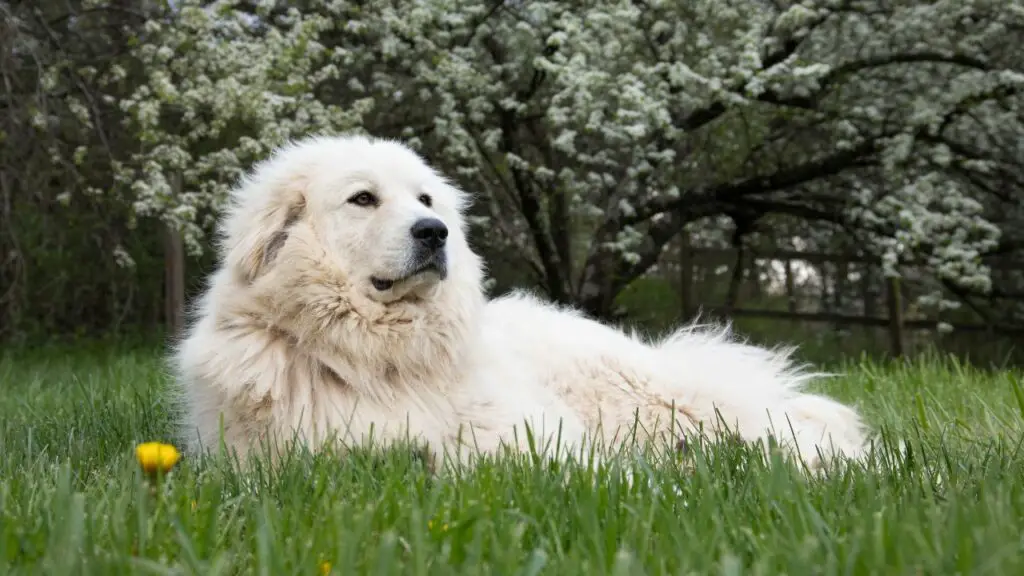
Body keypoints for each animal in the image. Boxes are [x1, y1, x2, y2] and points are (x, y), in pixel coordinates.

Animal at [172, 134, 876, 471]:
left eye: (425, 199)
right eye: (363, 199)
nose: (435, 233)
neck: (380, 357)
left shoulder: (529, 437)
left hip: (664, 402)